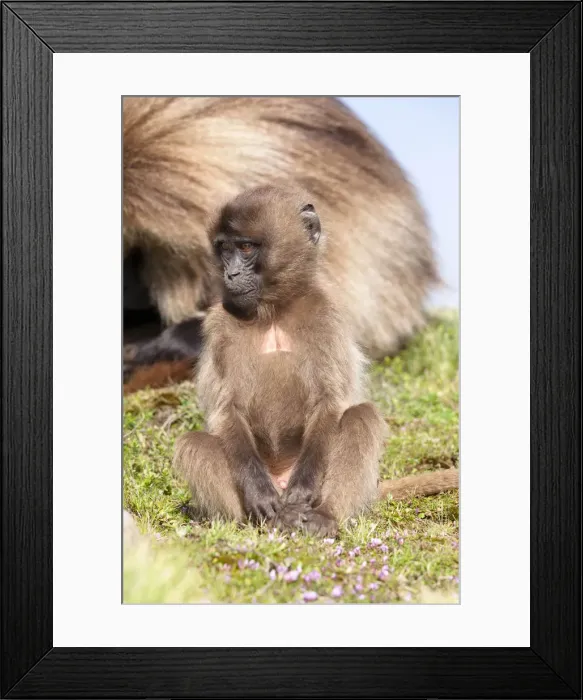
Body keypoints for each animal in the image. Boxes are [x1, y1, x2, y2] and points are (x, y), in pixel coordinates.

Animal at [172, 186, 457, 537]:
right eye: (224, 249)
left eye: (246, 247)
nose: (231, 274)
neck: (274, 311)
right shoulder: (219, 325)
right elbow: (226, 409)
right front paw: (259, 493)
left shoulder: (327, 317)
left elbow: (329, 401)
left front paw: (304, 491)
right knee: (194, 443)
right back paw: (258, 523)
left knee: (361, 416)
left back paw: (324, 516)